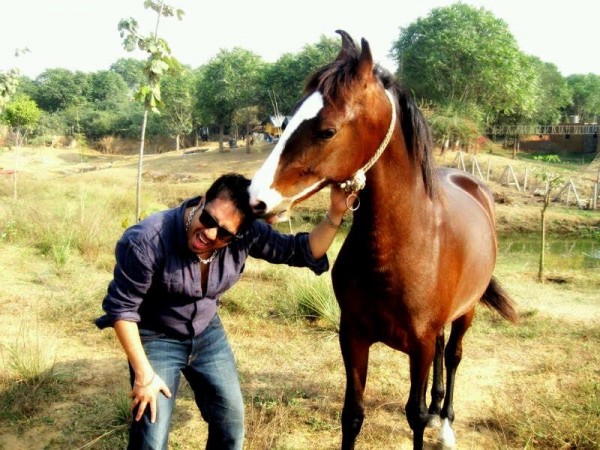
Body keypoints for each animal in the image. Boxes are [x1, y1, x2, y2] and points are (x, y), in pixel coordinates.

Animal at [247, 29, 516, 448]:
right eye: (288, 121)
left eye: (326, 129)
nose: (257, 199)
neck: (401, 247)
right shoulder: (353, 336)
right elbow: (352, 414)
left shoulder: (419, 346)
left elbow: (415, 415)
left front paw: (431, 420)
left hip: (466, 312)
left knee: (453, 356)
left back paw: (446, 423)